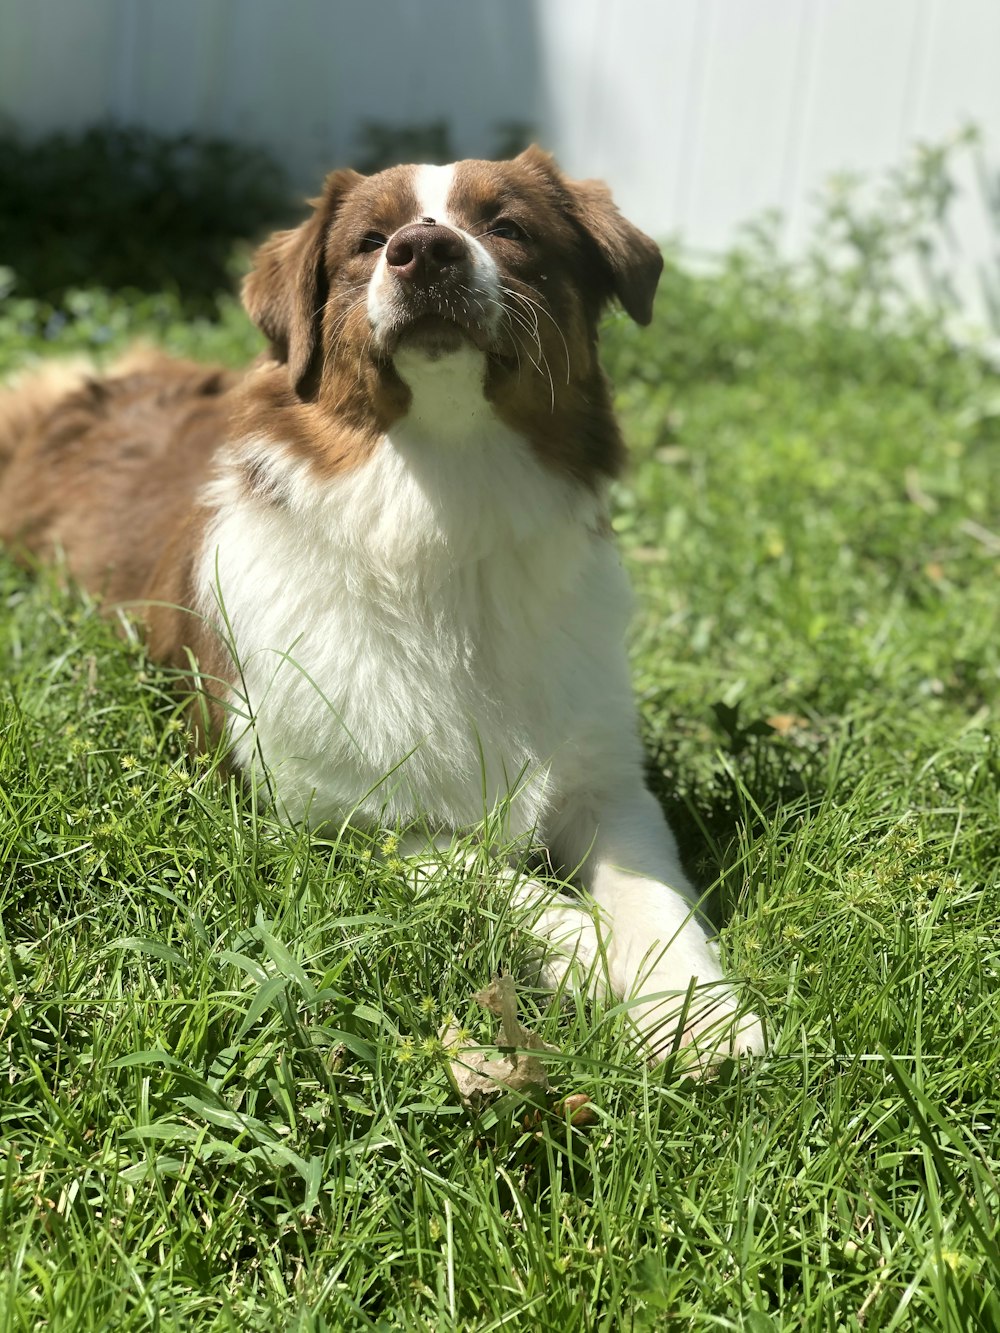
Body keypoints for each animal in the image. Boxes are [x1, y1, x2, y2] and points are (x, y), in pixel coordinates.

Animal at [0, 145, 762, 1061]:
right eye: (368, 241)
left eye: (506, 227)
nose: (424, 251)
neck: (443, 508)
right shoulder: (346, 819)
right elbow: (515, 890)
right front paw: (600, 963)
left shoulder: (608, 782)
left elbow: (656, 899)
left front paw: (698, 1014)